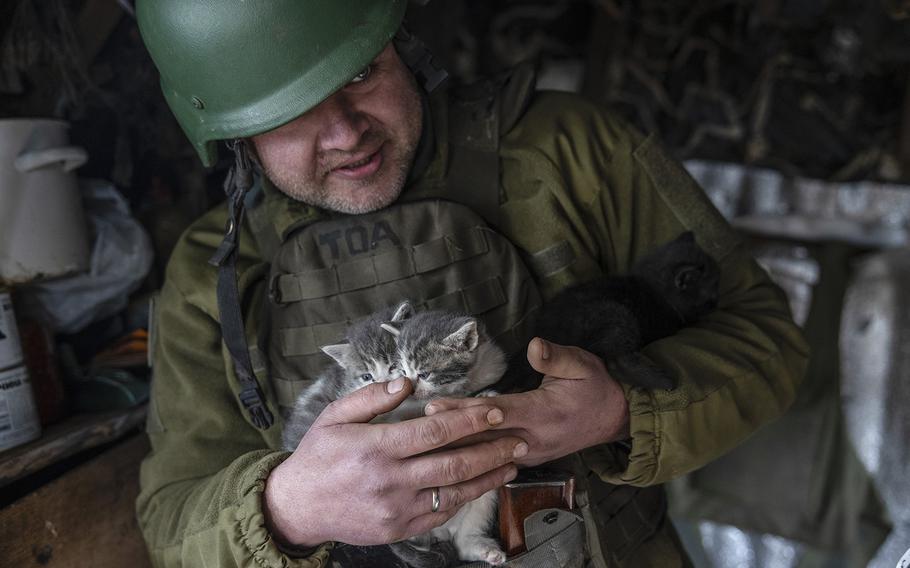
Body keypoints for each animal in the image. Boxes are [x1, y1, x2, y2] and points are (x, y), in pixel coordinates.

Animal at [510, 232, 716, 390]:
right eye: (711, 299)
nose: (717, 304)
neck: (652, 284)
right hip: (616, 314)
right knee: (615, 360)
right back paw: (662, 381)